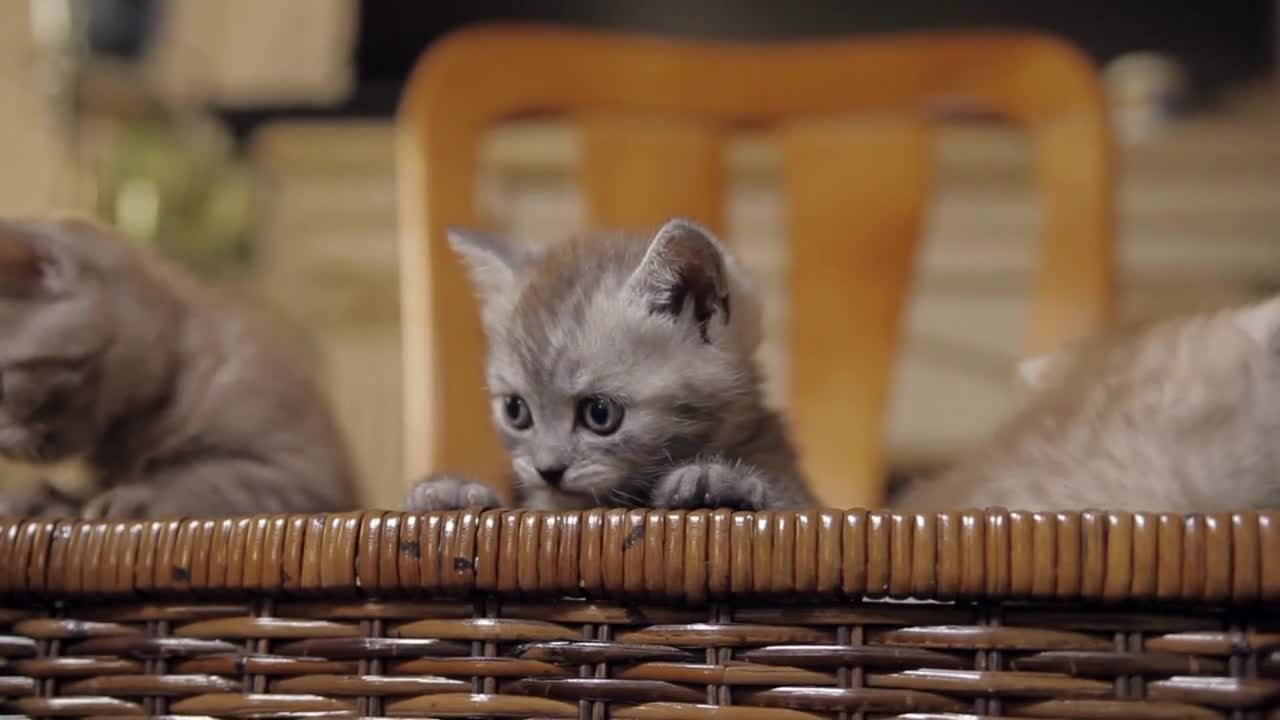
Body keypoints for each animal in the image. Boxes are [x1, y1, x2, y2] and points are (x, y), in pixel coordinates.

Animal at [0, 217, 355, 515]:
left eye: (2, 390)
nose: (2, 445)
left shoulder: (304, 478)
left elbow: (205, 478)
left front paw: (134, 496)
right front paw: (39, 500)